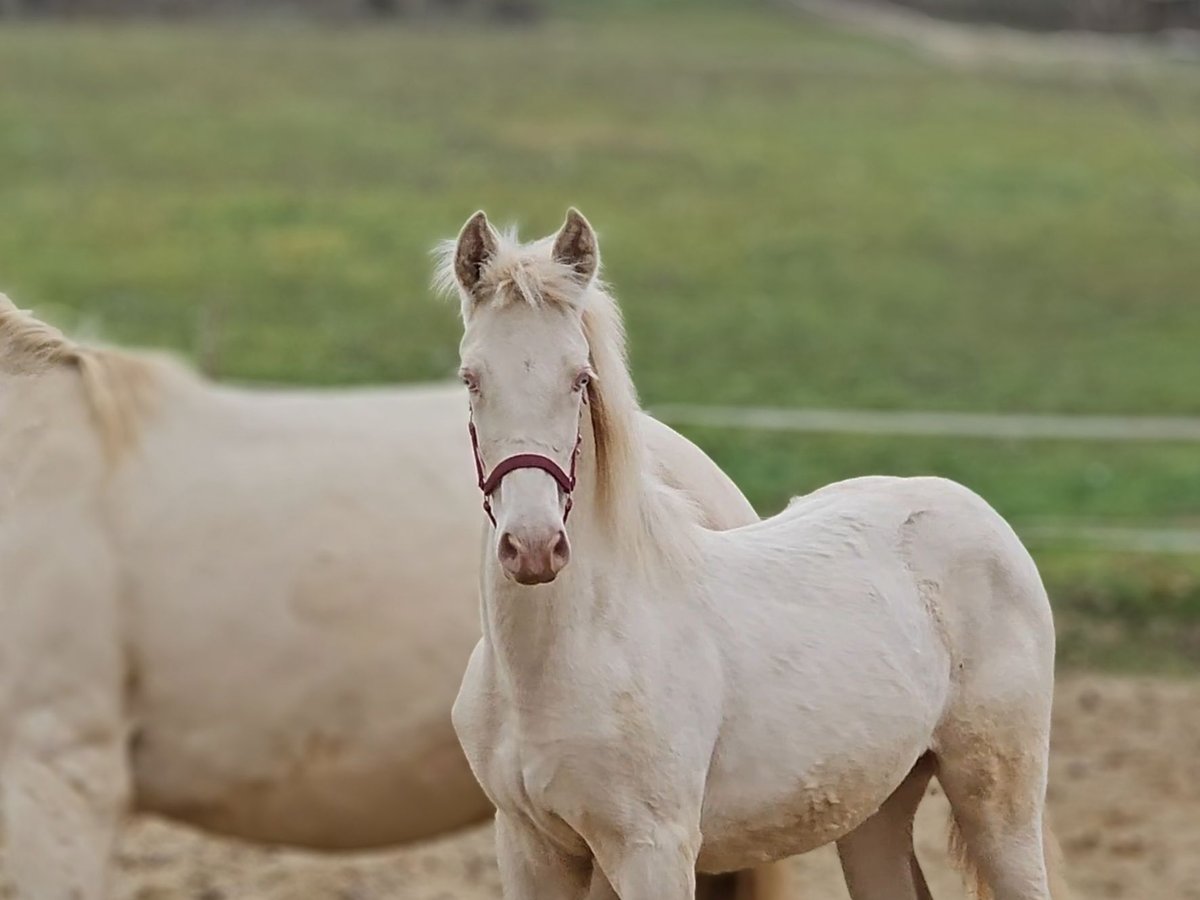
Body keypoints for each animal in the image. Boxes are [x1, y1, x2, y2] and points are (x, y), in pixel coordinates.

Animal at [445, 209, 1071, 900]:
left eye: (580, 378)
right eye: (471, 379)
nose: (533, 546)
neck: (565, 655)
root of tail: (976, 513)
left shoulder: (652, 852)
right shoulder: (531, 847)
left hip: (998, 804)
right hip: (875, 809)